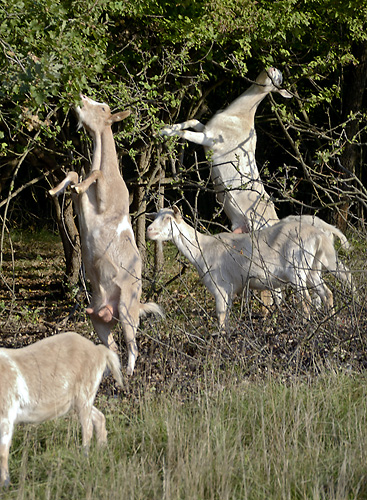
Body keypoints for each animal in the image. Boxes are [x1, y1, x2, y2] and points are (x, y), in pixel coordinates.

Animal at [0, 332, 123, 488]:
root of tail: (99, 351)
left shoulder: (6, 415)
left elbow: (3, 451)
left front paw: (5, 484)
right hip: (79, 401)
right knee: (99, 418)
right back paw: (101, 453)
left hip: (85, 394)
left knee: (87, 428)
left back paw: (84, 460)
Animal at [50, 95, 164, 374]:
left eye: (103, 108)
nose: (80, 97)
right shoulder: (82, 204)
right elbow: (74, 175)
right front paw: (55, 190)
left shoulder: (106, 198)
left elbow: (95, 173)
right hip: (98, 320)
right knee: (111, 347)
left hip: (126, 311)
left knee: (133, 345)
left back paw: (130, 373)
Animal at [147, 205, 354, 330]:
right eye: (156, 216)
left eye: (168, 219)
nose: (149, 230)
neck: (202, 250)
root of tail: (320, 234)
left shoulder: (221, 286)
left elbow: (221, 318)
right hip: (313, 269)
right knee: (327, 293)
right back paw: (330, 322)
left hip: (298, 268)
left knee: (306, 300)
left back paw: (304, 327)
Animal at [160, 67, 292, 233]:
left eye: (279, 81)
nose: (272, 68)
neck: (238, 116)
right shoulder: (206, 129)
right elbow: (193, 121)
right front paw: (167, 126)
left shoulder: (211, 139)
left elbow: (185, 133)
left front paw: (161, 132)